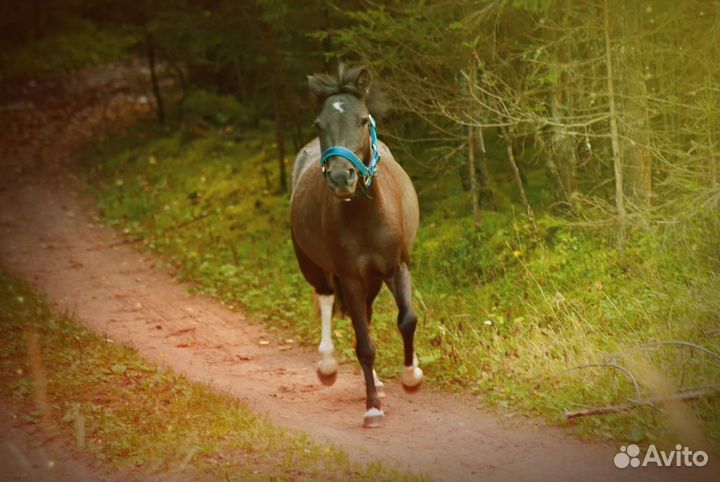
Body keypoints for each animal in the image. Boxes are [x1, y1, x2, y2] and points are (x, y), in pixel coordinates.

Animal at [288, 65, 422, 430]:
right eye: (319, 124)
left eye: (363, 120)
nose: (340, 177)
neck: (364, 214)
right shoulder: (349, 277)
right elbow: (364, 345)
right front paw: (372, 407)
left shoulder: (396, 266)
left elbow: (407, 320)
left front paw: (412, 377)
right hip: (313, 266)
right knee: (325, 299)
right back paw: (328, 367)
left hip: (372, 280)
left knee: (369, 314)